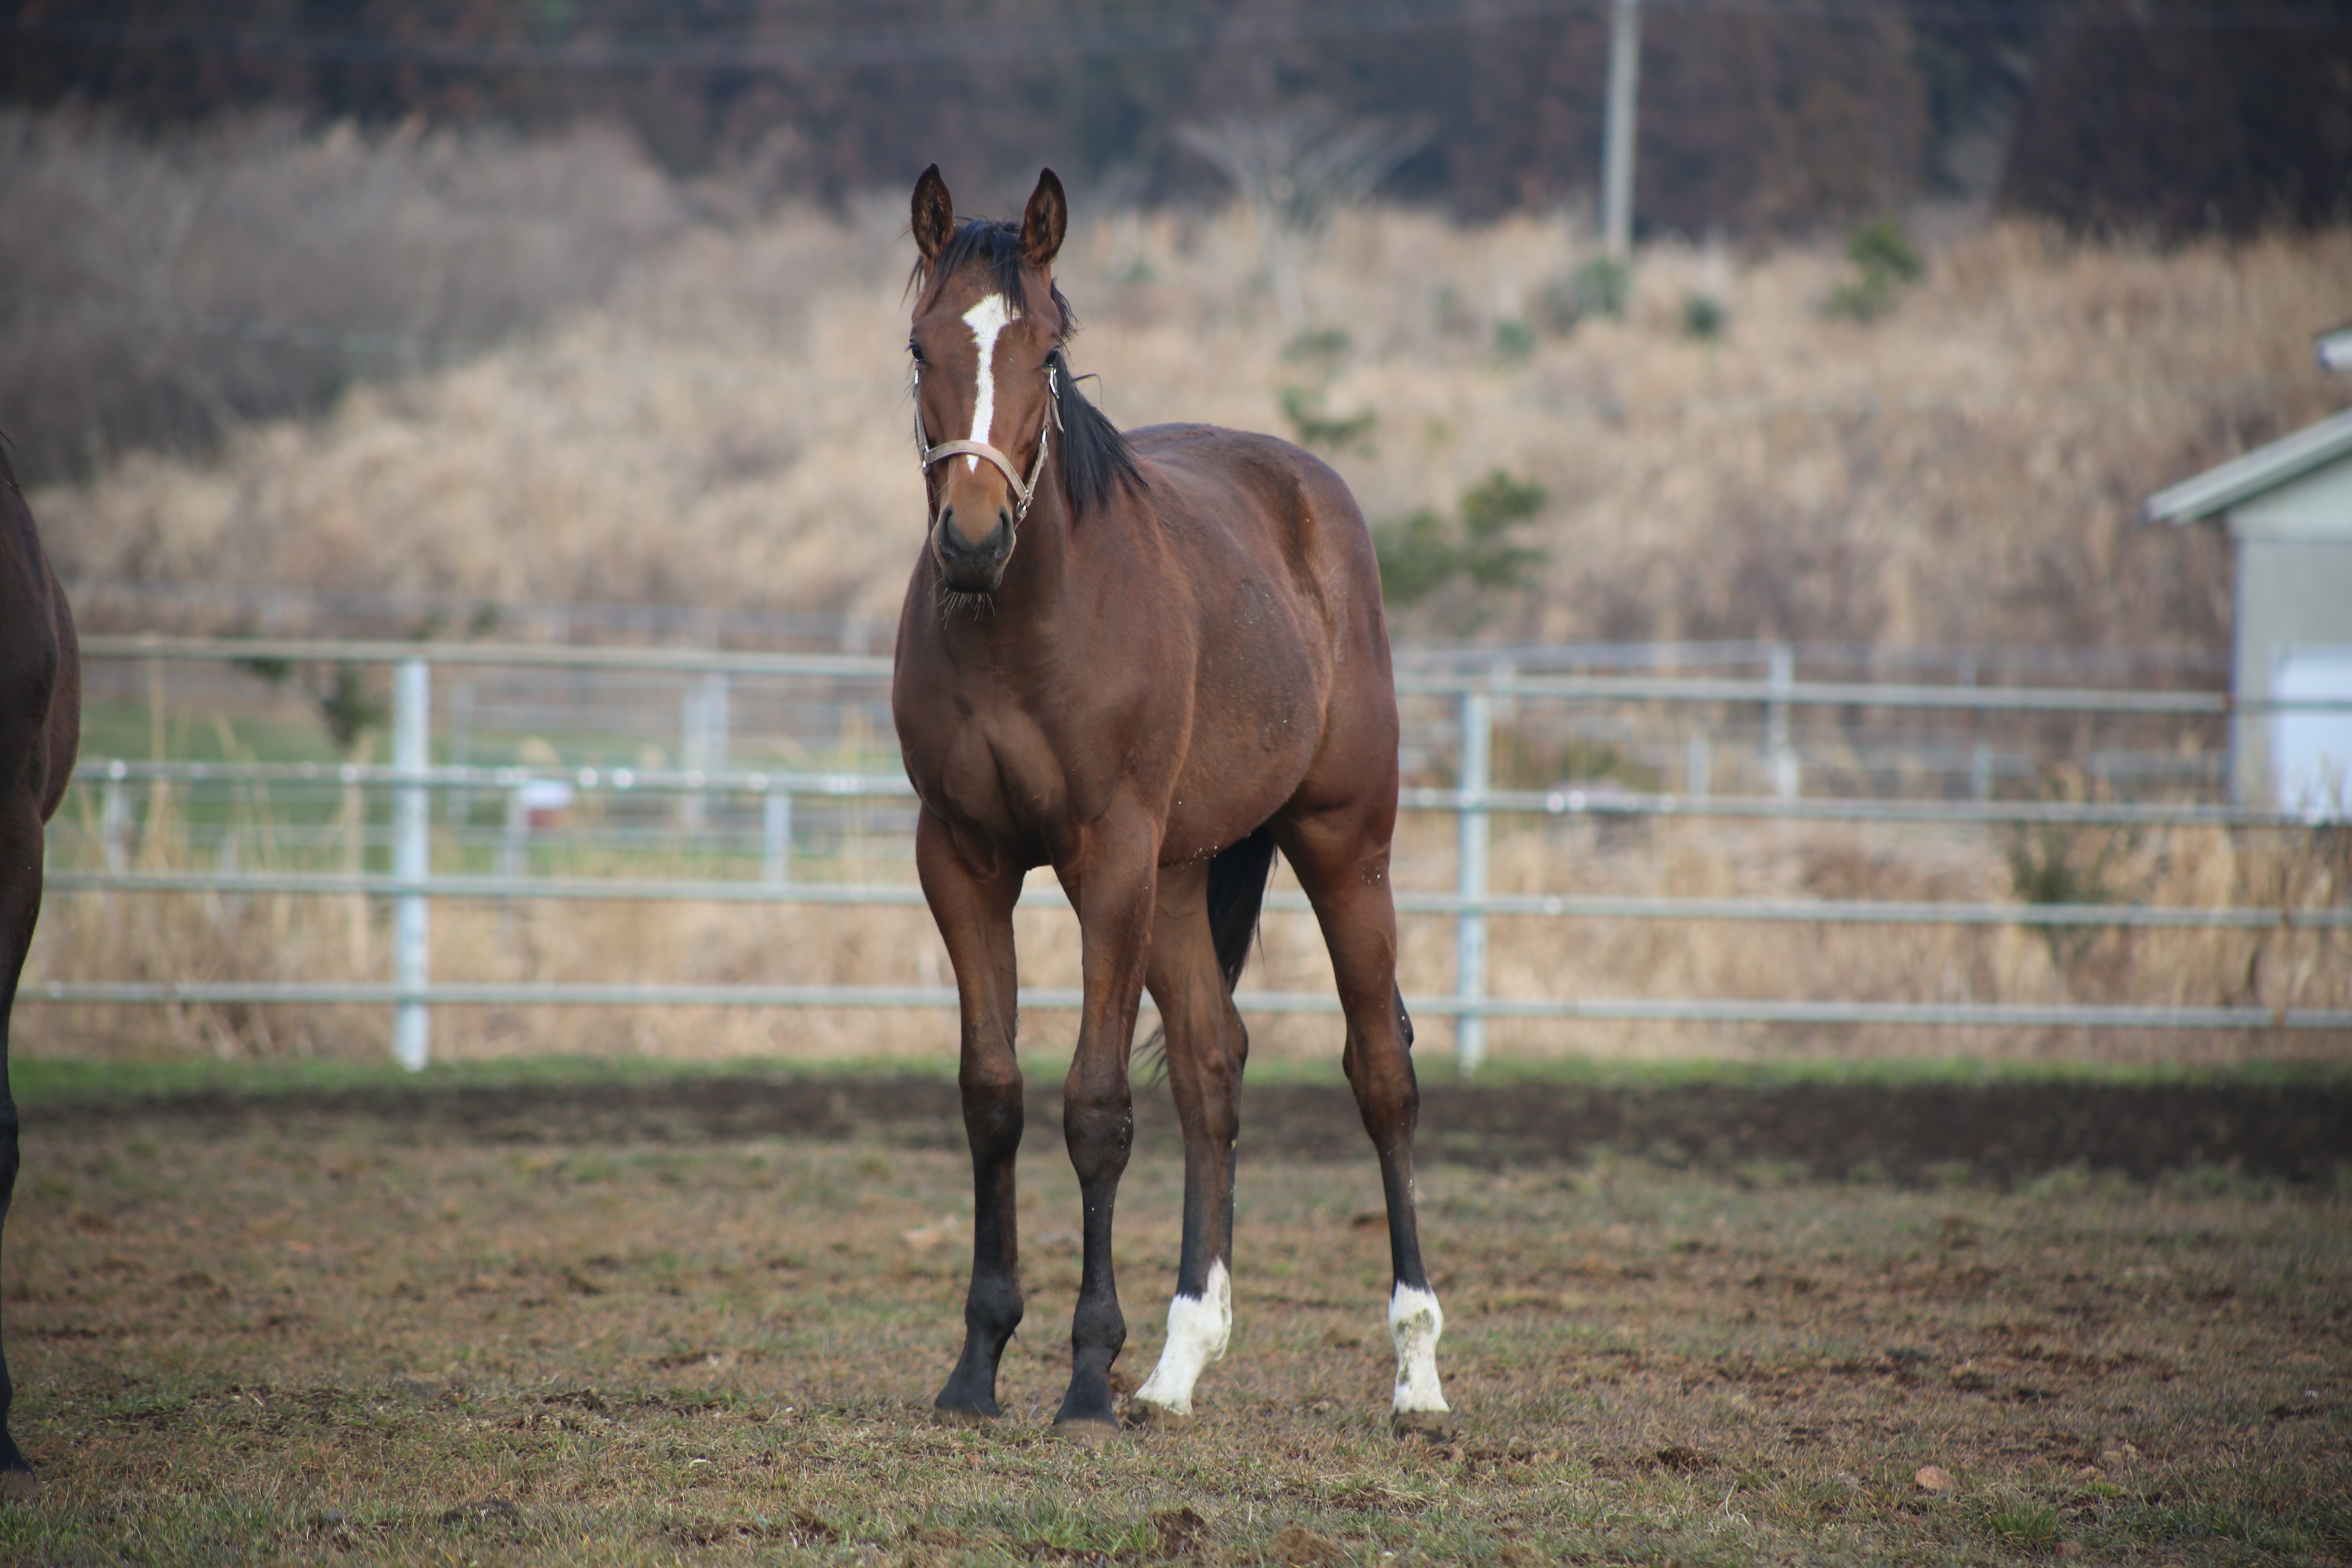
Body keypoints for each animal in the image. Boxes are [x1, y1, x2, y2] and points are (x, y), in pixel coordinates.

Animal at [889, 165, 1449, 1439]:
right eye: (919, 348)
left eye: (1045, 351)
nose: (973, 542)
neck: (1027, 626)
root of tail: (1308, 493)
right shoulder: (961, 858)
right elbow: (993, 1096)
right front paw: (977, 1366)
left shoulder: (1108, 860)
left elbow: (1095, 1109)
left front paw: (1085, 1379)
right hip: (1186, 875)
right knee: (1211, 1063)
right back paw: (1181, 1361)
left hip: (1341, 844)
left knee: (1379, 1071)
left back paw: (1416, 1372)